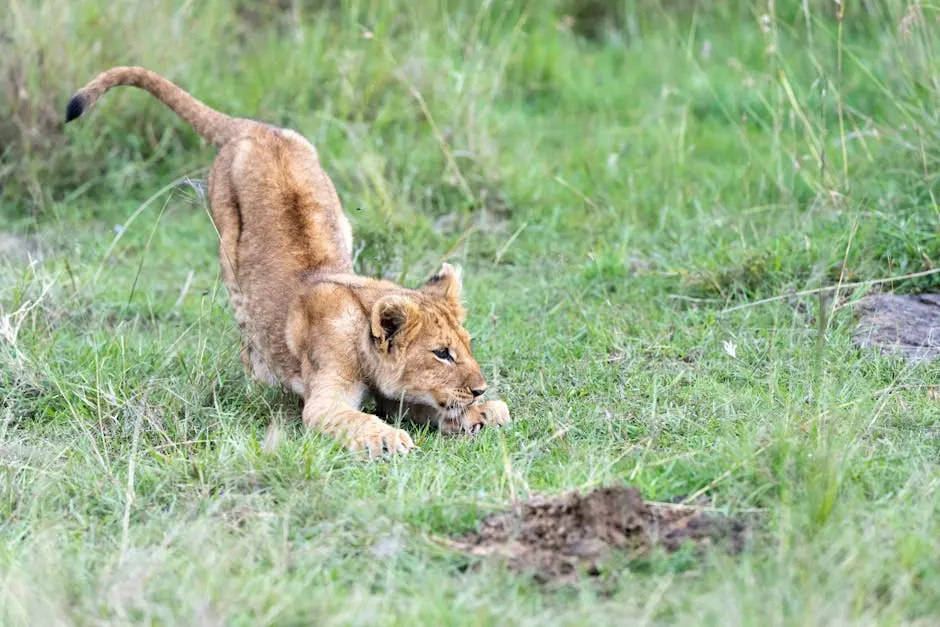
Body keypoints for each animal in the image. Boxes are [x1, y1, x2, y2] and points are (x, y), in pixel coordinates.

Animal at [64, 66, 510, 456]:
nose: (481, 388)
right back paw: (261, 383)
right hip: (230, 258)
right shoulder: (323, 402)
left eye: (466, 345)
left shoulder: (398, 397)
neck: (360, 331)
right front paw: (388, 439)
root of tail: (253, 127)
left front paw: (485, 412)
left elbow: (431, 406)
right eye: (441, 353)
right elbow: (356, 419)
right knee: (248, 338)